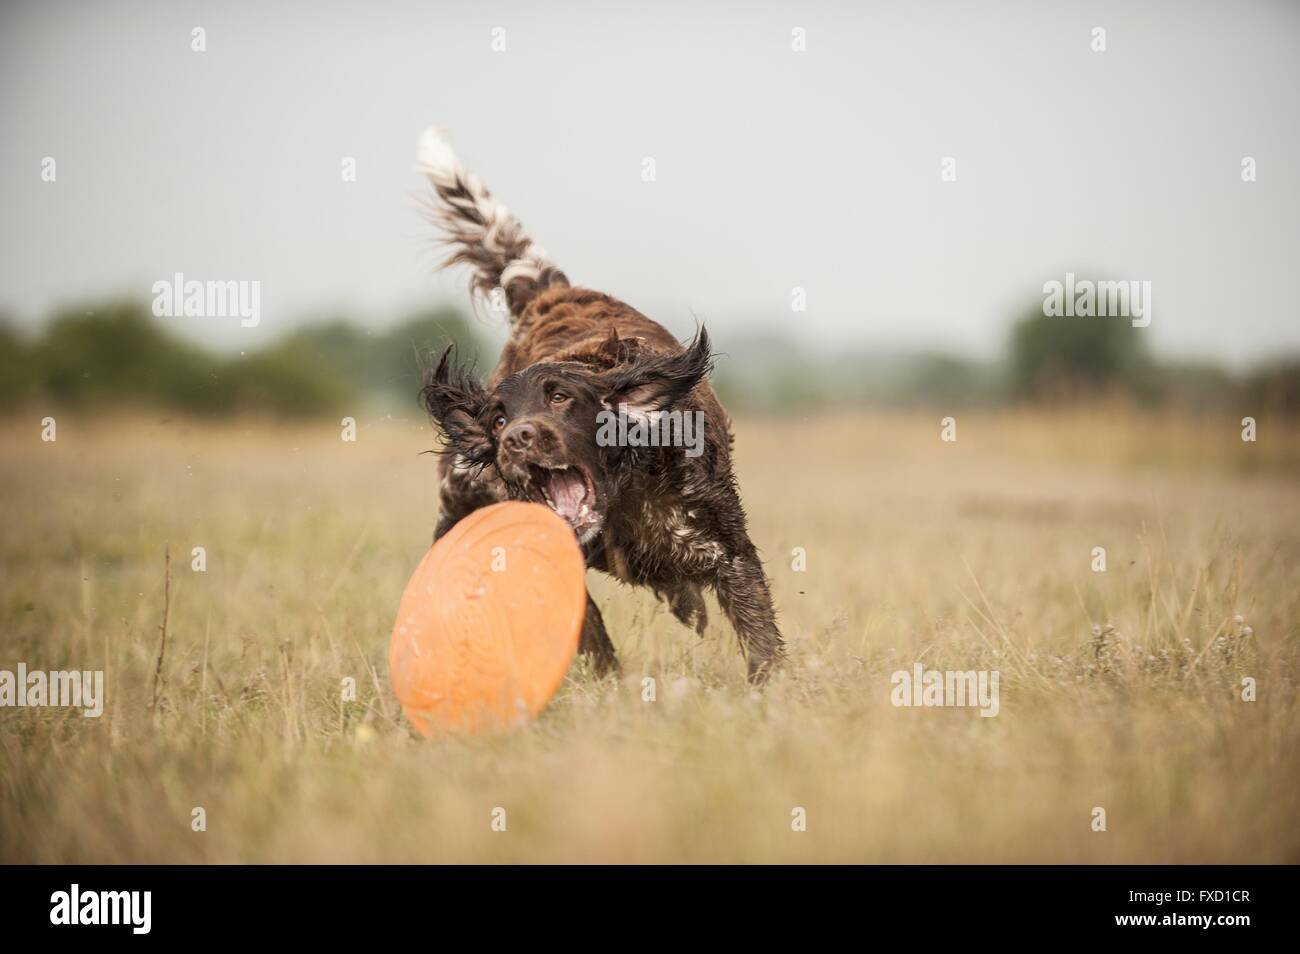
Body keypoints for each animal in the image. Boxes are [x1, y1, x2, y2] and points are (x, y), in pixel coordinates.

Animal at [416, 128, 780, 686]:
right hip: (457, 500)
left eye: (560, 398)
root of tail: (551, 292)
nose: (516, 438)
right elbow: (590, 632)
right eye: (498, 419)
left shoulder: (729, 550)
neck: (623, 495)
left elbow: (760, 637)